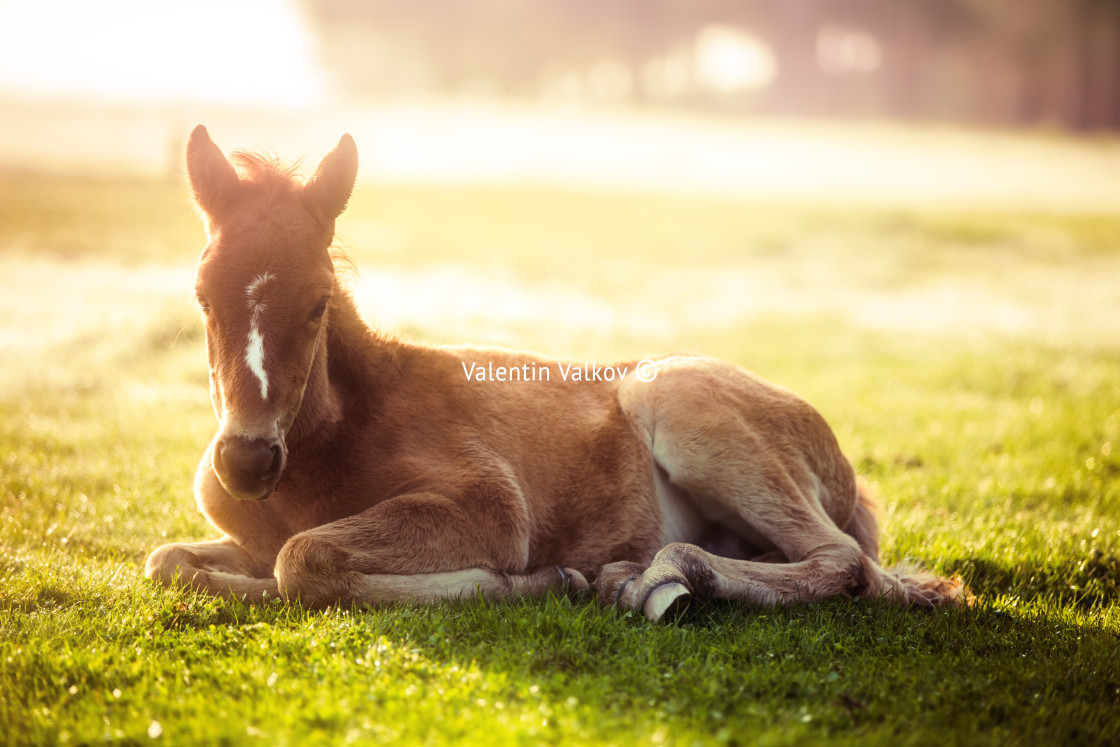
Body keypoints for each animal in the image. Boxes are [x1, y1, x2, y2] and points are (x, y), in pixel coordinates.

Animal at [144, 127, 963, 618]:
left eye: (316, 303)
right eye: (202, 295)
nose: (247, 461)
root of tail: (846, 471)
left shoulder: (489, 503)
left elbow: (302, 558)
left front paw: (540, 579)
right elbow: (170, 560)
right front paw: (226, 579)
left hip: (679, 399)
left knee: (844, 562)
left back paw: (648, 580)